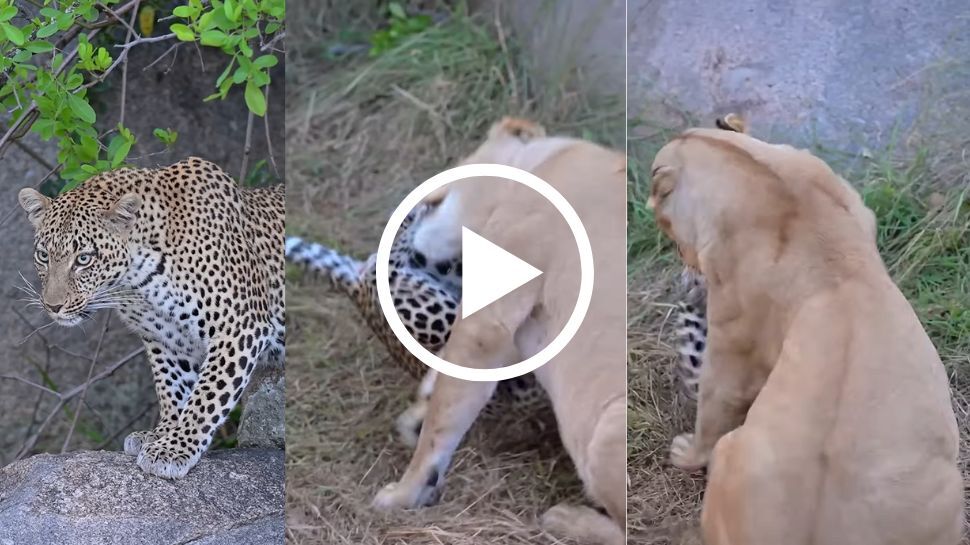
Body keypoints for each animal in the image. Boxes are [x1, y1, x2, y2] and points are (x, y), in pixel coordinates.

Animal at [18, 157, 284, 479]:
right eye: (43, 256)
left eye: (84, 259)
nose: (53, 306)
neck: (138, 279)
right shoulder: (166, 338)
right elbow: (172, 387)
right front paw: (162, 433)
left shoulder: (239, 327)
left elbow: (207, 395)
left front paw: (175, 447)